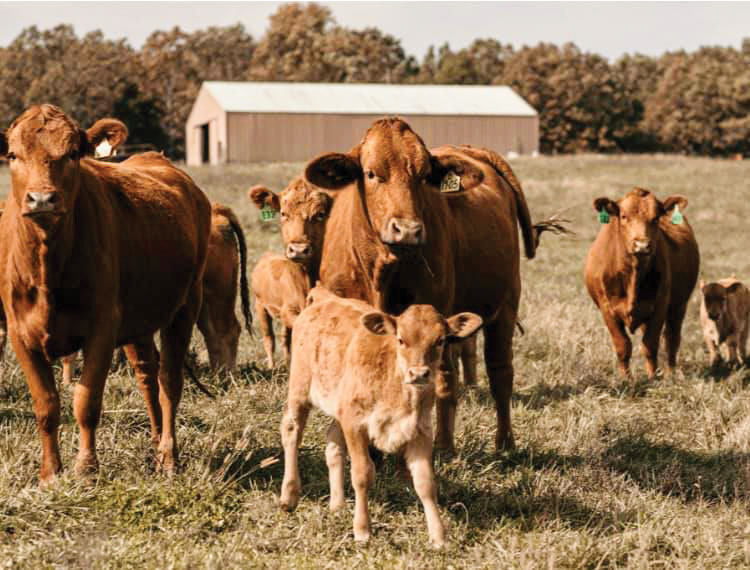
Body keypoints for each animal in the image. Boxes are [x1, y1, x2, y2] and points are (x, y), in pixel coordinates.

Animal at [0, 105, 213, 480]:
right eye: (13, 155)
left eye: (73, 153)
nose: (42, 198)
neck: (47, 267)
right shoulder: (19, 334)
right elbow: (46, 405)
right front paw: (50, 473)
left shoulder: (101, 327)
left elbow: (86, 402)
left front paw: (86, 468)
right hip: (138, 321)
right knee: (148, 375)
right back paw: (155, 442)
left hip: (186, 305)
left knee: (169, 382)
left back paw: (168, 456)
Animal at [280, 286, 482, 544]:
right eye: (401, 339)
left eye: (440, 341)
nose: (419, 374)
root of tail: (326, 298)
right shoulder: (355, 424)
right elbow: (363, 473)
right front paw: (362, 530)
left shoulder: (420, 431)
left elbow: (425, 482)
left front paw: (438, 536)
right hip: (300, 388)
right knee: (291, 431)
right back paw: (289, 495)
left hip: (339, 407)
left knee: (333, 442)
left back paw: (337, 504)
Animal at [302, 117, 556, 450]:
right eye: (371, 173)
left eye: (423, 176)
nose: (408, 230)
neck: (379, 270)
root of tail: (470, 149)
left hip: (505, 305)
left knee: (495, 373)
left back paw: (493, 444)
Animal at [584, 186, 704, 378]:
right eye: (623, 216)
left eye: (655, 218)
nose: (641, 245)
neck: (632, 275)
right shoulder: (606, 309)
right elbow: (623, 346)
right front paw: (626, 379)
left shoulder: (660, 306)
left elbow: (650, 345)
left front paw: (653, 377)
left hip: (679, 305)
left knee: (672, 339)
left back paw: (671, 372)